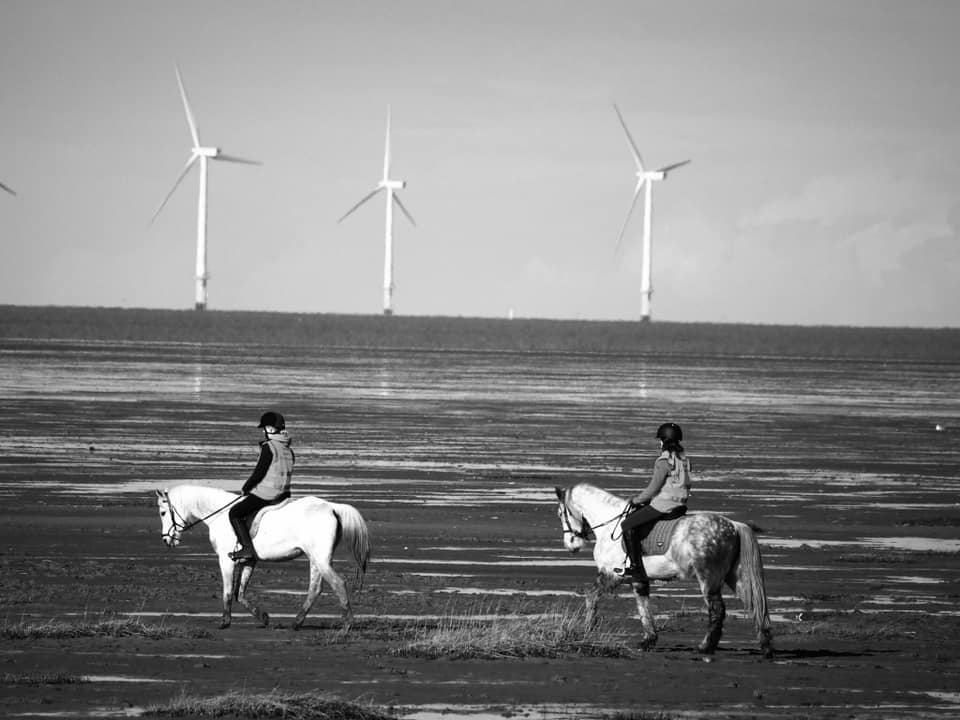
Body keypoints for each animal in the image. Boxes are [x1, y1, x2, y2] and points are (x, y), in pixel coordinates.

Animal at [156, 484, 370, 632]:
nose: (166, 540)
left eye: (163, 512)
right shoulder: (249, 560)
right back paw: (296, 622)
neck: (221, 515)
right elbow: (240, 593)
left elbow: (228, 592)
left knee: (338, 584)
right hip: (316, 560)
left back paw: (347, 625)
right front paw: (264, 617)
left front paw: (225, 622)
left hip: (321, 559)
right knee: (315, 589)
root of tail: (332, 507)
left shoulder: (225, 561)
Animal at [556, 484, 772, 660]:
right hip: (735, 578)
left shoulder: (611, 574)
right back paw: (765, 646)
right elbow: (643, 607)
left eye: (560, 513)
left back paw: (705, 647)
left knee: (718, 610)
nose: (571, 546)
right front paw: (648, 640)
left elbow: (591, 596)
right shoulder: (638, 579)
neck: (610, 526)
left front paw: (588, 629)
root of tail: (734, 525)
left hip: (709, 579)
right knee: (755, 605)